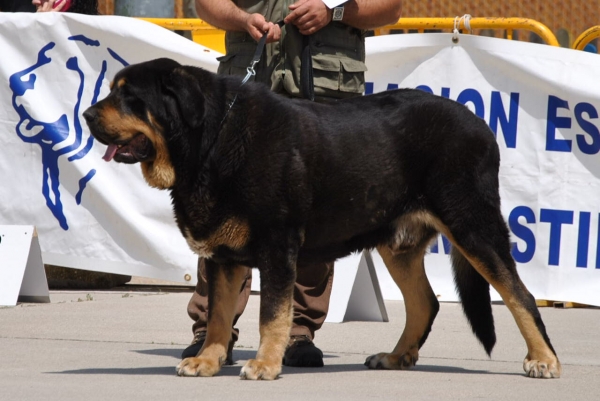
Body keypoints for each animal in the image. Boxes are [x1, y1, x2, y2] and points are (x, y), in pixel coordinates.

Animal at [84, 57, 564, 380]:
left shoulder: (278, 246)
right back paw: (396, 357)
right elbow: (220, 314)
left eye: (130, 97)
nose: (86, 114)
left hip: (473, 225)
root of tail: (480, 125)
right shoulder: (224, 257)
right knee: (424, 303)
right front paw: (207, 360)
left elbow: (272, 314)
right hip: (399, 244)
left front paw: (265, 365)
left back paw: (543, 360)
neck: (211, 141)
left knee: (520, 295)